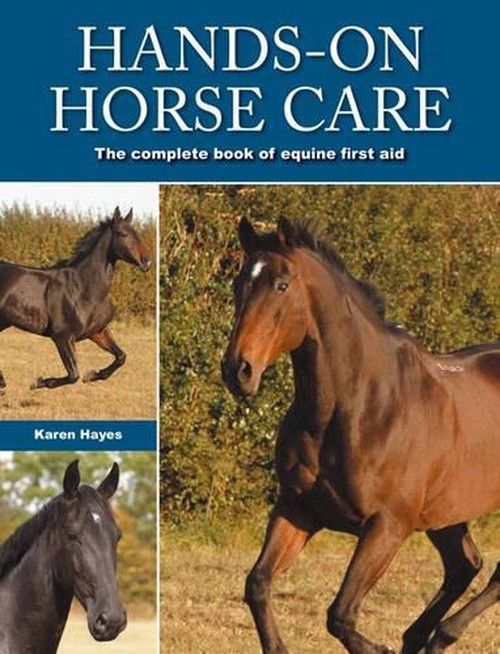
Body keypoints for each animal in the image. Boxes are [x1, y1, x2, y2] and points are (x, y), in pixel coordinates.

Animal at [0, 206, 151, 391]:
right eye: (123, 234)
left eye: (137, 233)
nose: (147, 262)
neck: (84, 289)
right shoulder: (63, 337)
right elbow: (73, 375)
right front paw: (39, 382)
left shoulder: (98, 332)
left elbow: (121, 357)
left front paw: (92, 375)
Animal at [221, 217, 500, 654]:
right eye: (238, 283)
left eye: (282, 284)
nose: (238, 370)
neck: (358, 404)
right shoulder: (297, 508)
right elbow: (258, 585)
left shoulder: (387, 526)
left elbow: (341, 615)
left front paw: (378, 648)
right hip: (445, 512)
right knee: (464, 565)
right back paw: (421, 638)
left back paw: (442, 634)